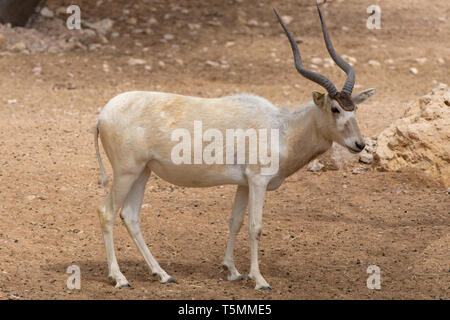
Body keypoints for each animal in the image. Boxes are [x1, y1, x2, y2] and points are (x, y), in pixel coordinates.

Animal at [93, 4, 374, 290]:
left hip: (143, 172)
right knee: (107, 212)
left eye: (355, 108)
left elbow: (235, 221)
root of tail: (102, 115)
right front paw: (259, 279)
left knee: (130, 215)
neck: (282, 128)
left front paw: (232, 270)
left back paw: (162, 273)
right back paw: (119, 278)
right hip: (126, 172)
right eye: (335, 108)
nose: (359, 144)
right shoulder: (259, 180)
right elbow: (255, 226)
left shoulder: (244, 183)